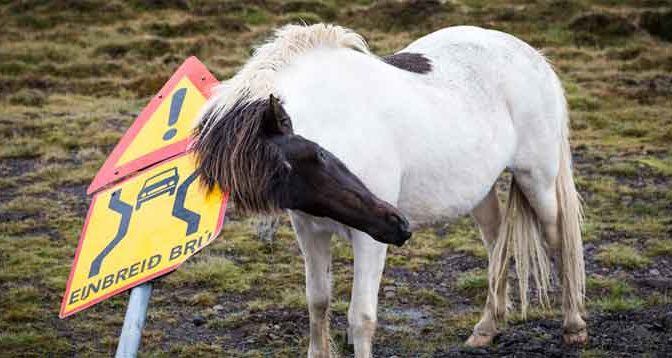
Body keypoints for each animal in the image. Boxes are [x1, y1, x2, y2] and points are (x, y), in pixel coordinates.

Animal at [192, 23, 584, 356]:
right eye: (279, 182)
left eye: (319, 153)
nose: (398, 224)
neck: (334, 114)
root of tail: (532, 55)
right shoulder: (310, 230)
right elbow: (317, 301)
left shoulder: (369, 238)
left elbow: (361, 317)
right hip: (480, 190)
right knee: (497, 244)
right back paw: (487, 328)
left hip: (538, 180)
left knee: (557, 239)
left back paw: (574, 326)